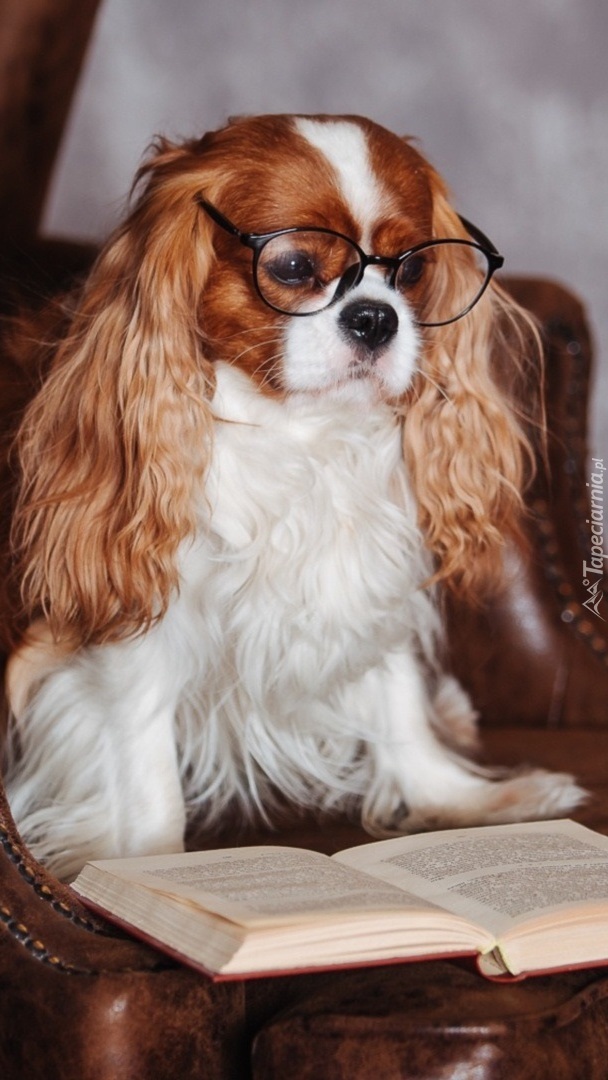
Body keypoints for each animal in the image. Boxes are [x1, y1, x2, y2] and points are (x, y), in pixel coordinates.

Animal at [2, 116, 587, 876]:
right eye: (292, 268)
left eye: (412, 270)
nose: (375, 318)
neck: (300, 433)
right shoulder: (125, 623)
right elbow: (144, 763)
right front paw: (144, 870)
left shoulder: (367, 576)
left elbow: (397, 698)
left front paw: (460, 800)